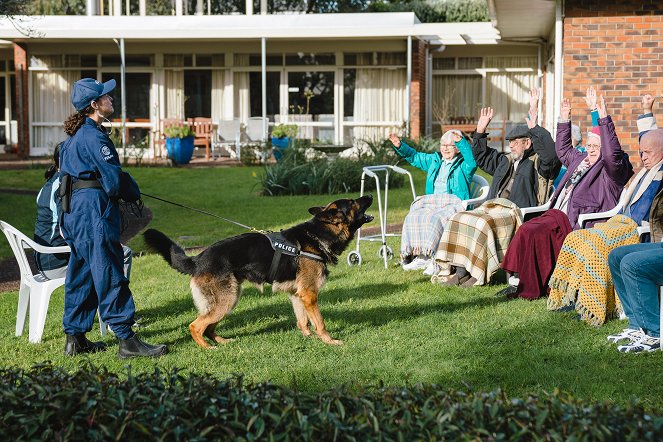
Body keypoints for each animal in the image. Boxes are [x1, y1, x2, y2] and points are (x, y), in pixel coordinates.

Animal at [144, 195, 374, 348]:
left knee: (208, 326)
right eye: (353, 202)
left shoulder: (298, 294)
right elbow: (320, 322)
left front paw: (308, 337)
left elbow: (303, 320)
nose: (370, 195)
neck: (318, 235)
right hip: (226, 300)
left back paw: (223, 341)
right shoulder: (309, 294)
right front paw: (329, 341)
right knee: (195, 325)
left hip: (230, 299)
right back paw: (208, 348)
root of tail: (198, 259)